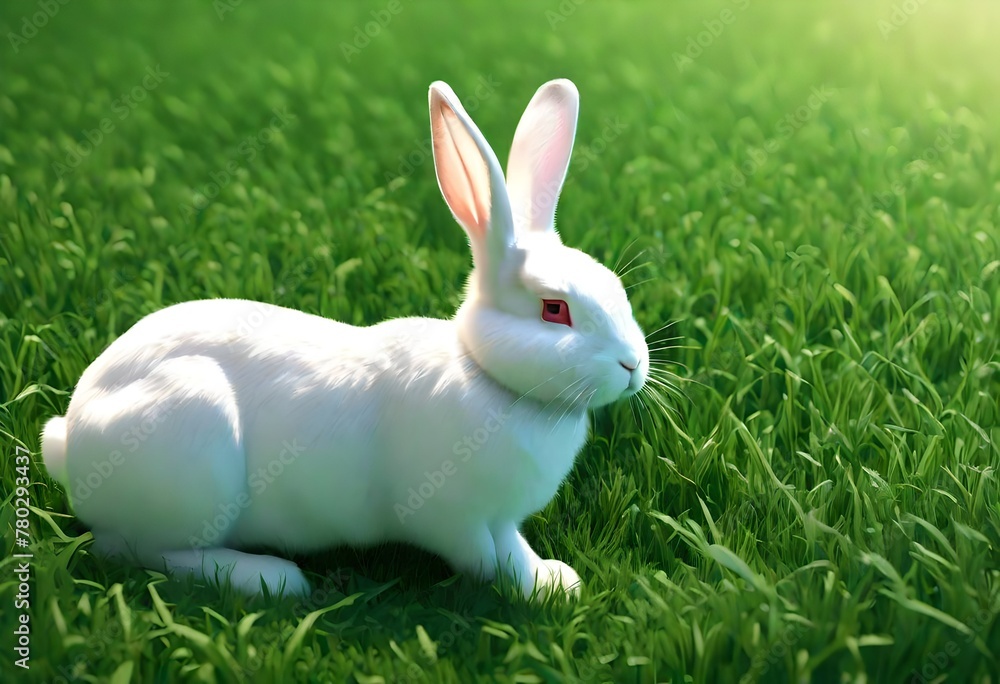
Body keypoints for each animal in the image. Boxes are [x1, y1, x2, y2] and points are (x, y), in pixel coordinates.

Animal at [40, 78, 649, 600]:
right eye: (554, 309)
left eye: (613, 285)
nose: (633, 366)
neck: (487, 375)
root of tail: (71, 436)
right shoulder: (456, 519)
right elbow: (491, 561)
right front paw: (546, 589)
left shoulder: (497, 518)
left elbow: (512, 547)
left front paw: (554, 578)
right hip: (191, 446)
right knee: (136, 549)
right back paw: (269, 577)